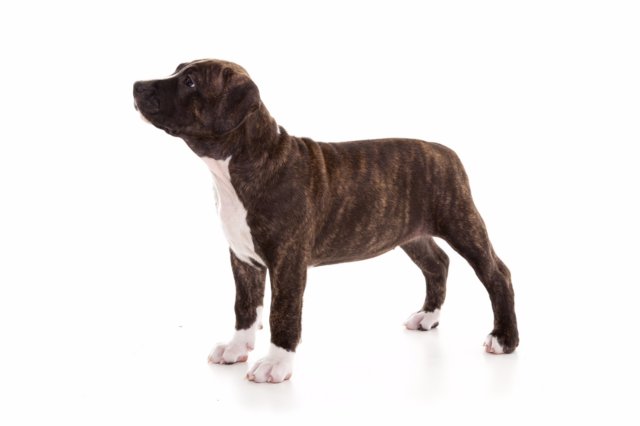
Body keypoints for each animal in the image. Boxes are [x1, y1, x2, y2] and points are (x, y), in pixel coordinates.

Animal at [133, 59, 519, 383]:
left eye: (190, 81)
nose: (137, 85)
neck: (244, 161)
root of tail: (445, 151)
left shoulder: (287, 262)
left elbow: (282, 313)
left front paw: (276, 364)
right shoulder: (243, 258)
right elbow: (244, 306)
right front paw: (237, 347)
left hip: (461, 221)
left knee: (496, 273)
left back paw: (505, 339)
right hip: (410, 233)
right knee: (437, 263)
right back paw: (428, 316)